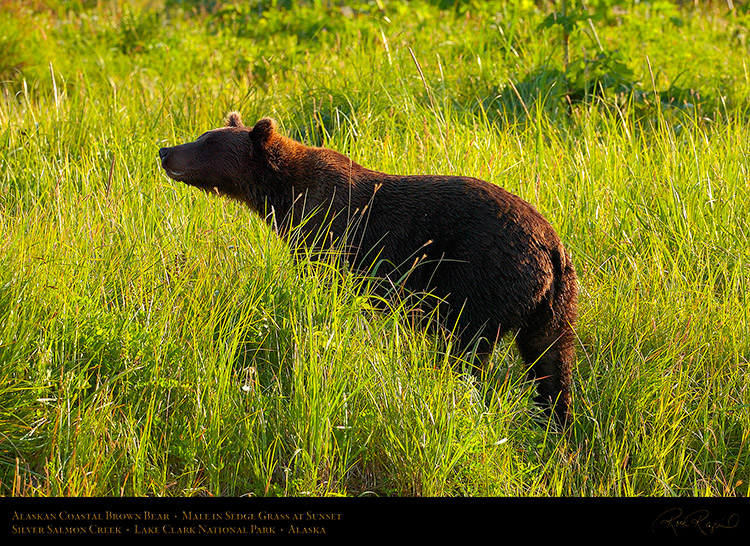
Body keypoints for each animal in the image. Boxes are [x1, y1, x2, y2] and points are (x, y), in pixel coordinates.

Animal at [160, 111, 580, 424]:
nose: (165, 150)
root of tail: (552, 246)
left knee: (467, 349)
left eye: (206, 143)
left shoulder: (330, 233)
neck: (282, 197)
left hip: (482, 280)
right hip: (555, 303)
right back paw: (555, 424)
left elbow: (325, 291)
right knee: (551, 360)